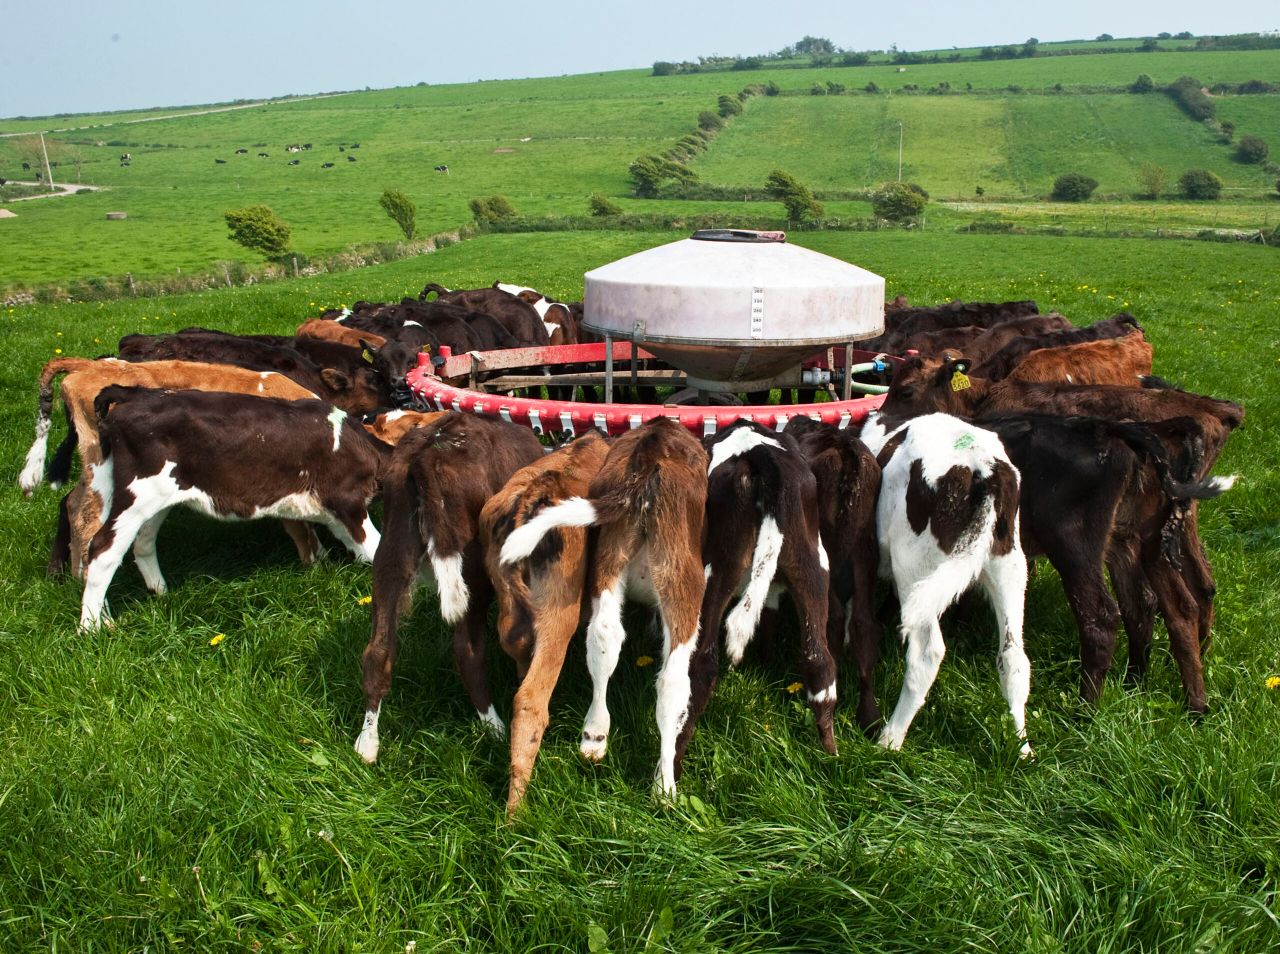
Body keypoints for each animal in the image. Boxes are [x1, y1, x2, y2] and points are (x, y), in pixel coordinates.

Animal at [79, 387, 385, 631]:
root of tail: (135, 394)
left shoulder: (335, 513)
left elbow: (360, 551)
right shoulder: (348, 501)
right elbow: (375, 548)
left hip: (155, 499)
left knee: (141, 544)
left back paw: (160, 595)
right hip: (138, 494)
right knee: (102, 549)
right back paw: (91, 628)